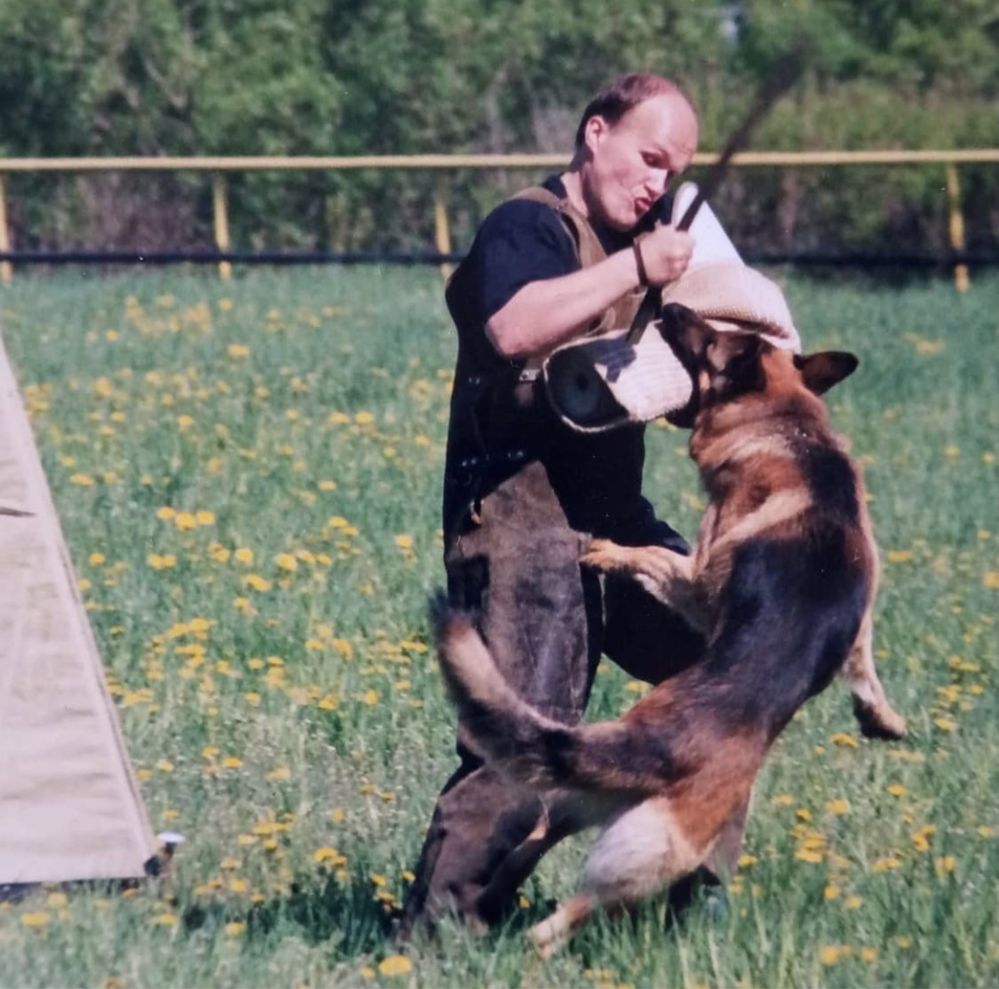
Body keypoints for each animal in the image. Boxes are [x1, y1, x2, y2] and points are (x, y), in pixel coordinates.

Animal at [434, 304, 912, 952]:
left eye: (709, 340)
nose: (671, 307)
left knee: (562, 901)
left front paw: (607, 551)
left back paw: (526, 940)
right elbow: (862, 659)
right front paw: (882, 717)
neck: (790, 428)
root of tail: (655, 746)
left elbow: (654, 557)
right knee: (536, 844)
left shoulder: (698, 580)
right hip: (603, 819)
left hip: (643, 849)